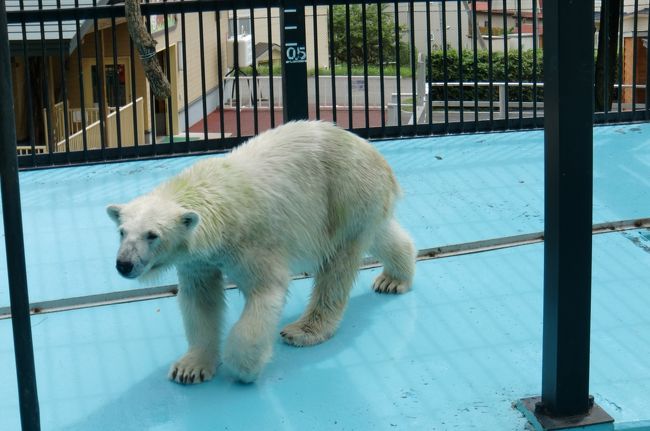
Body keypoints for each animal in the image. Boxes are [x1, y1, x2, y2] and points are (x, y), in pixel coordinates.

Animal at [104, 120, 412, 384]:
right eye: (122, 231)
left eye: (152, 235)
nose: (124, 264)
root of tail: (380, 160)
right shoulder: (198, 260)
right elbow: (201, 301)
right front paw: (190, 368)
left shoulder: (250, 243)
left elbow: (266, 291)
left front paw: (244, 367)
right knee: (381, 234)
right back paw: (393, 278)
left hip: (343, 196)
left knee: (336, 266)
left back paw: (303, 330)